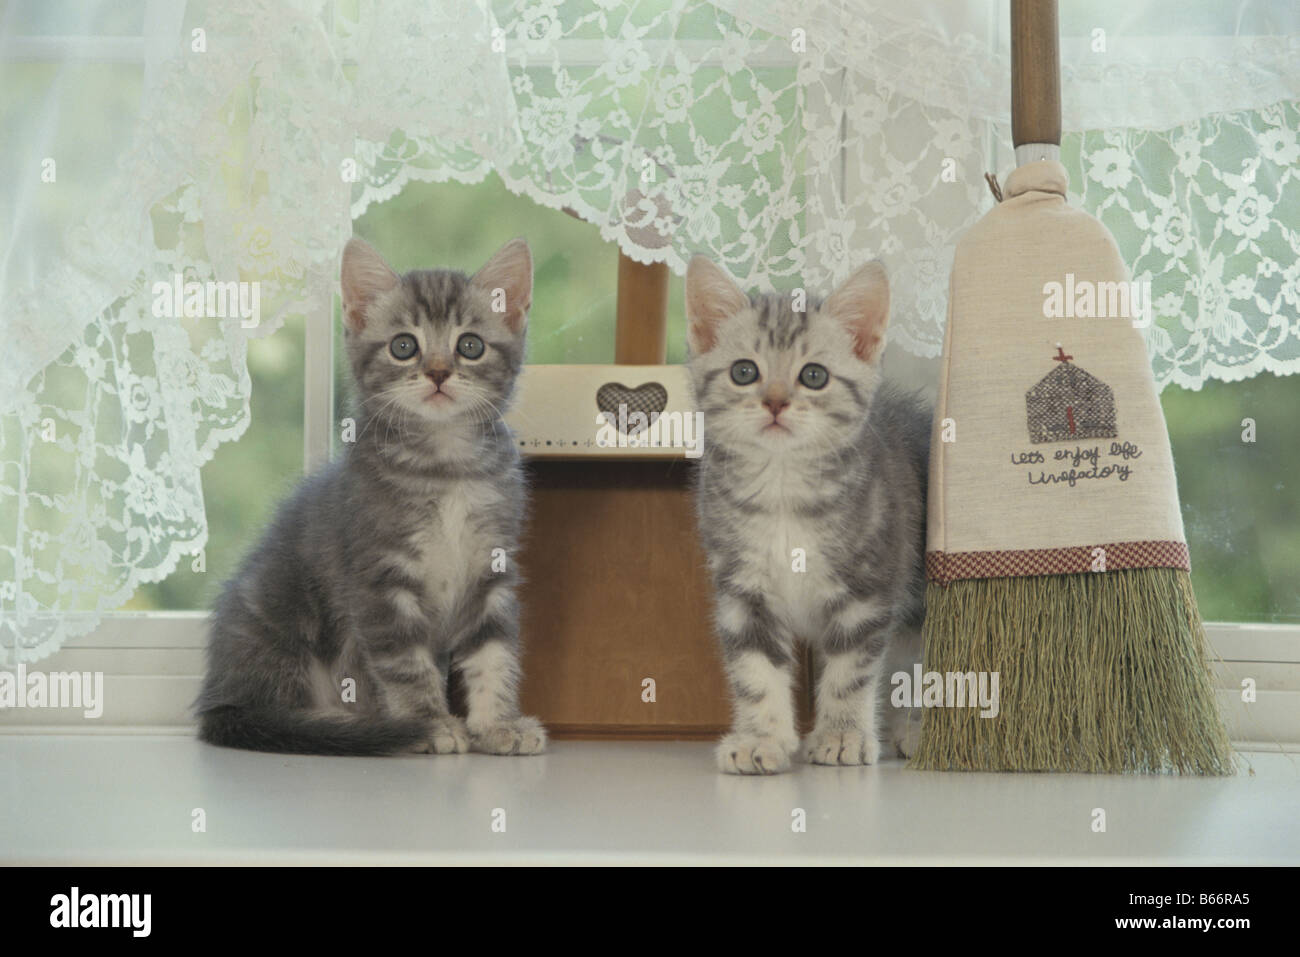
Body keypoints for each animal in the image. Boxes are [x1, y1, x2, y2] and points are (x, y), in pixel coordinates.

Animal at [197, 237, 548, 754]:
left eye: (470, 346)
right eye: (404, 346)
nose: (438, 372)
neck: (446, 467)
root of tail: (219, 699)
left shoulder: (493, 569)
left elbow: (494, 655)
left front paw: (496, 724)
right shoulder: (379, 577)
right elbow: (406, 665)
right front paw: (431, 723)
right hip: (283, 619)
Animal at [686, 256, 930, 780]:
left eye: (814, 376)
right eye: (744, 371)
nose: (776, 401)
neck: (783, 491)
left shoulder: (867, 589)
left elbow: (850, 671)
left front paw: (841, 735)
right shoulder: (743, 592)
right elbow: (755, 671)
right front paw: (760, 739)